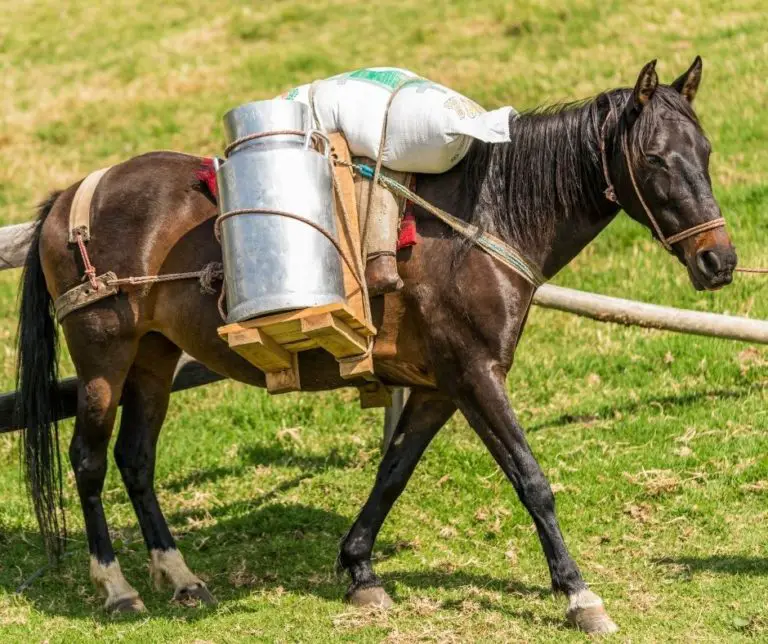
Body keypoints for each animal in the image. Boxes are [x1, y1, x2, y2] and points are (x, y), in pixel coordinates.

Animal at [15, 57, 736, 632]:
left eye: (703, 151)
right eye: (655, 158)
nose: (719, 260)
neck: (477, 223)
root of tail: (67, 199)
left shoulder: (438, 386)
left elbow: (393, 472)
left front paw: (359, 570)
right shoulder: (476, 373)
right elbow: (532, 480)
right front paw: (578, 594)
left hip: (155, 359)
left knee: (136, 460)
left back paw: (180, 576)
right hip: (104, 359)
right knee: (89, 462)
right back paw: (117, 587)